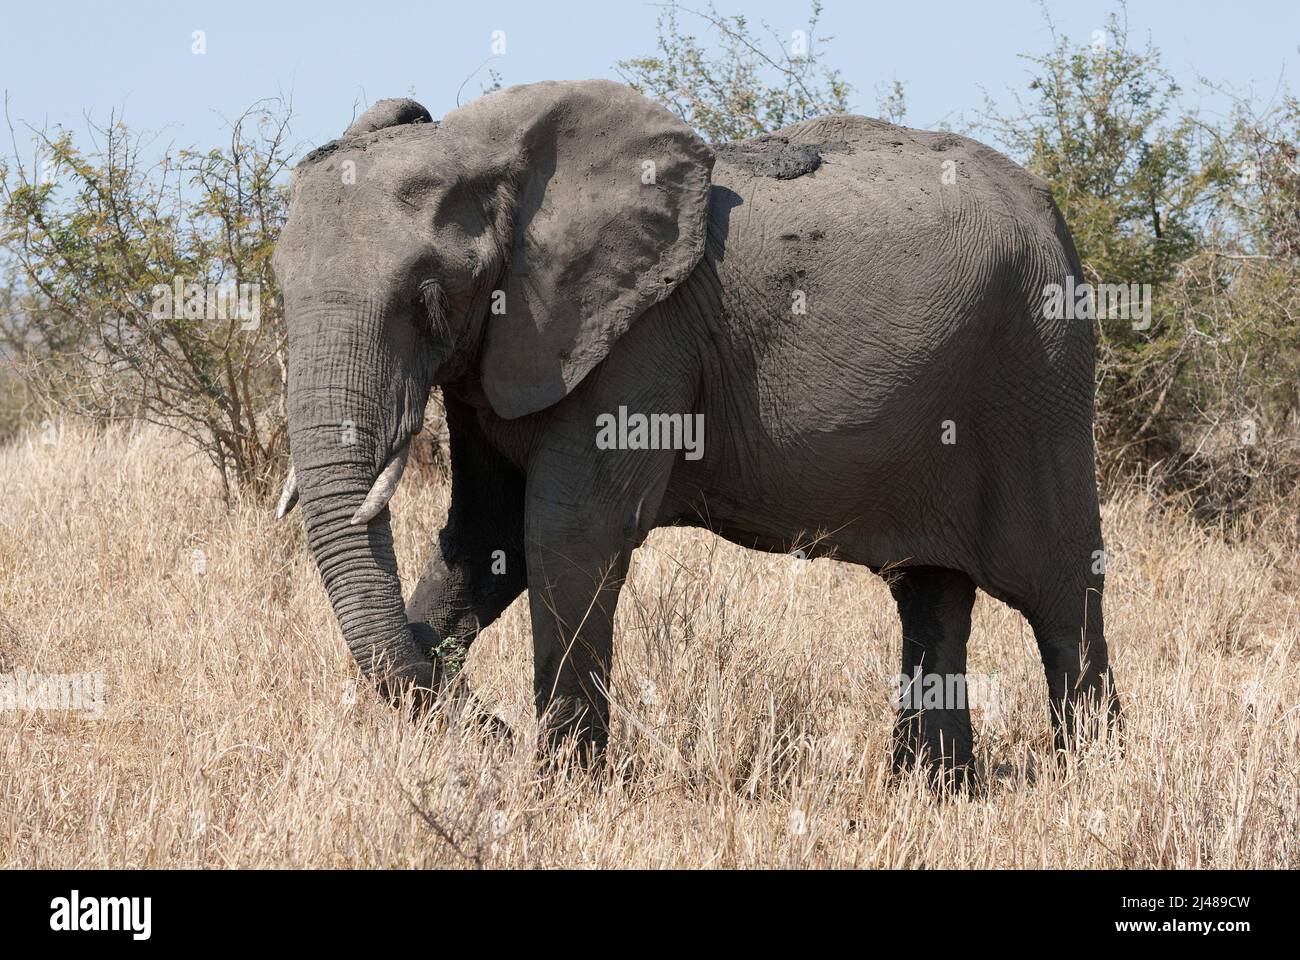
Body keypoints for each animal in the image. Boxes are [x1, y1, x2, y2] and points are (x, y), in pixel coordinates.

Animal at [271, 78, 1118, 785]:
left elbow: (566, 534)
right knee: (930, 593)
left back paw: (1090, 783)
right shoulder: (504, 350)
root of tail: (1053, 211)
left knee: (1059, 592)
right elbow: (485, 538)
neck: (493, 151)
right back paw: (933, 793)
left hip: (1038, 368)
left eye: (427, 297)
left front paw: (561, 789)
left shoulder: (642, 334)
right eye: (276, 291)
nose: (495, 730)